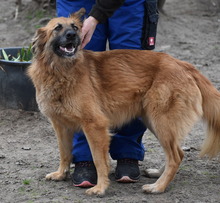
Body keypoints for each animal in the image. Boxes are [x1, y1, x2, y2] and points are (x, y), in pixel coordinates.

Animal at [27, 8, 220, 196]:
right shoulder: (61, 126)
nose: (72, 36)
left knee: (176, 156)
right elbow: (64, 153)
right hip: (154, 122)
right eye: (57, 28)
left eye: (74, 27)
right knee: (176, 152)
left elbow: (99, 160)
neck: (60, 71)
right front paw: (61, 174)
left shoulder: (95, 125)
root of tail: (184, 65)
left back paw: (158, 187)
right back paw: (157, 175)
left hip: (161, 123)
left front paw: (100, 187)